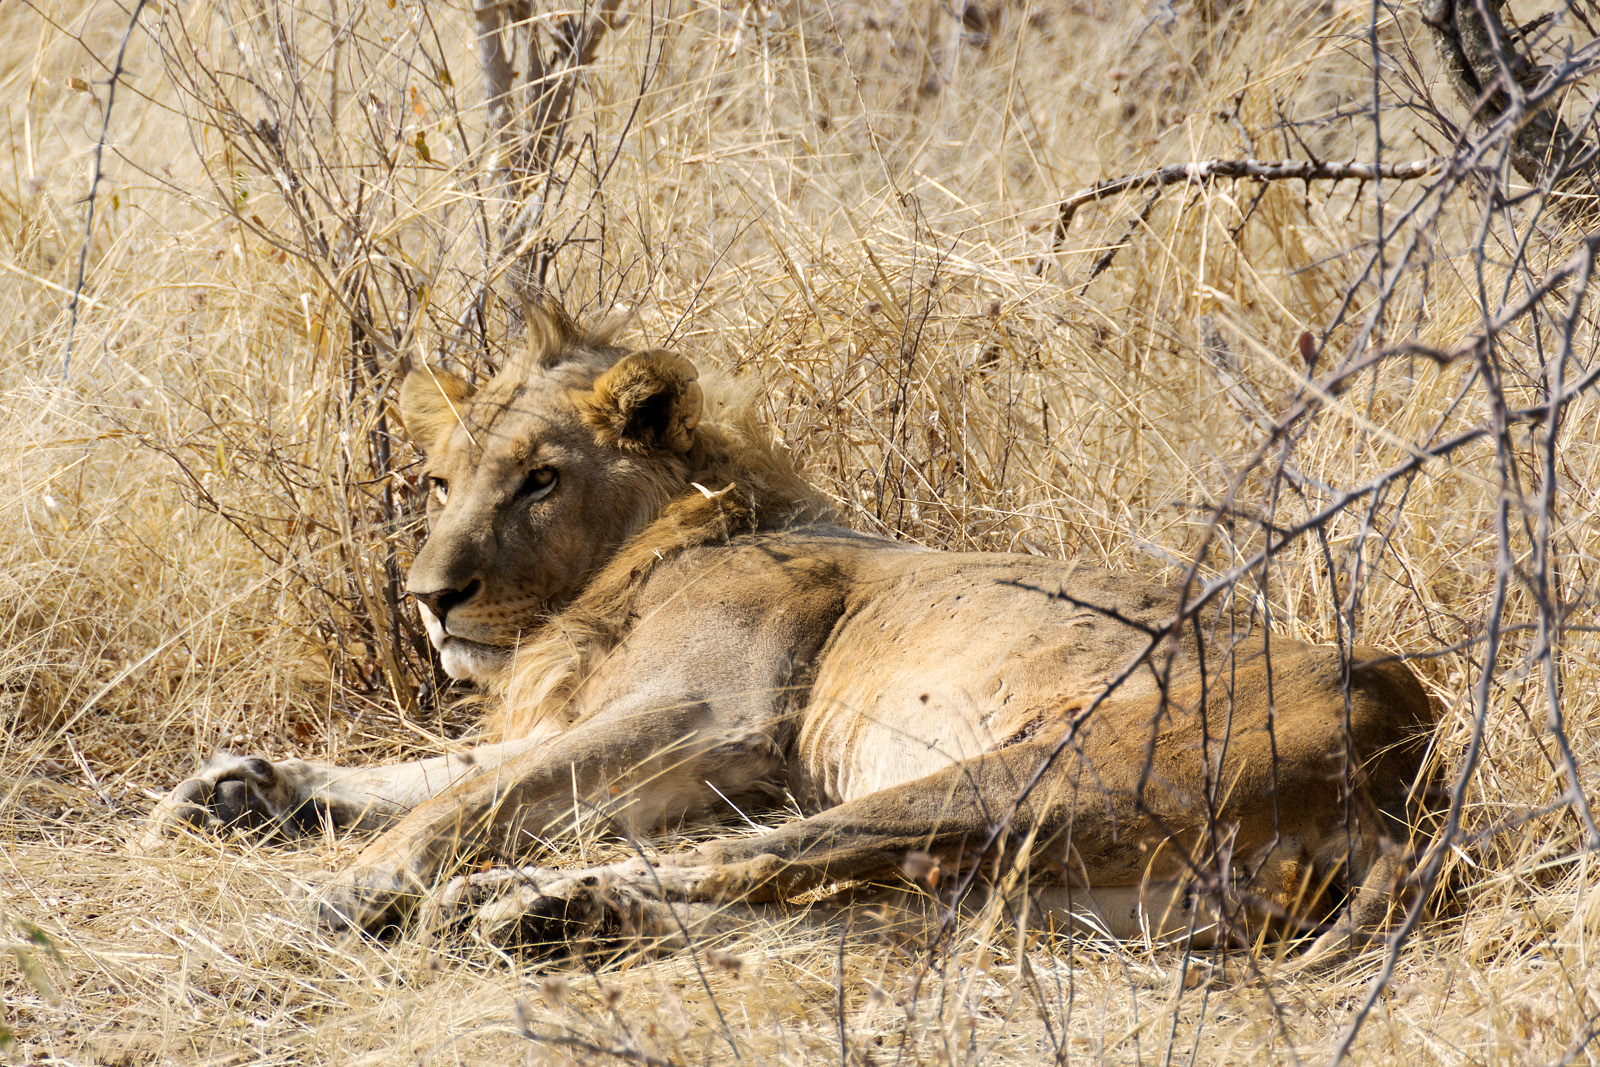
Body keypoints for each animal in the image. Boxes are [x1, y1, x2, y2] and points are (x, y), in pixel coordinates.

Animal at [147, 300, 1440, 959]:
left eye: (538, 481)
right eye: (435, 481)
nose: (429, 596)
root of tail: (1405, 765)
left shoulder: (713, 717)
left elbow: (466, 793)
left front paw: (352, 883)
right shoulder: (618, 720)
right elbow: (437, 769)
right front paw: (238, 788)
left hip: (1025, 775)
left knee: (758, 856)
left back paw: (512, 904)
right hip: (1068, 889)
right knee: (832, 898)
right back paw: (557, 914)